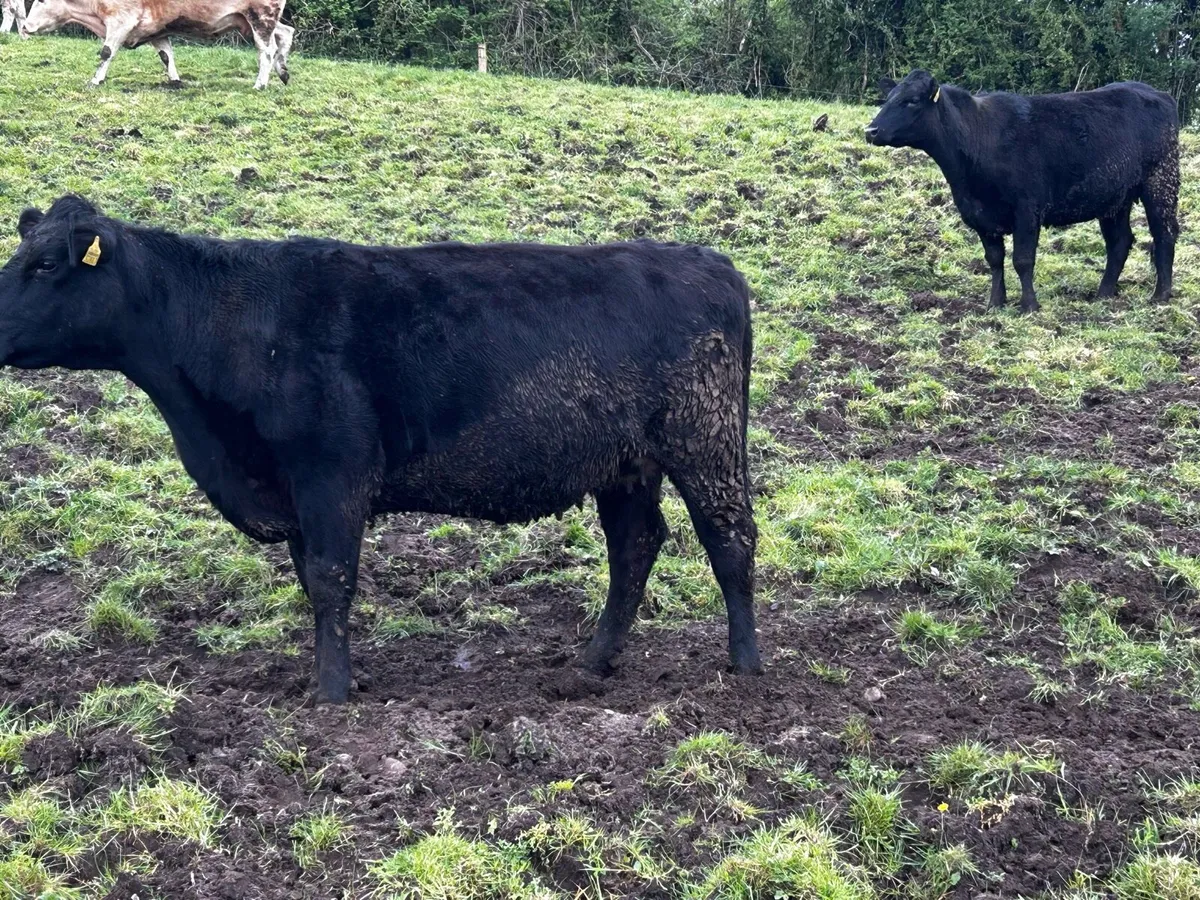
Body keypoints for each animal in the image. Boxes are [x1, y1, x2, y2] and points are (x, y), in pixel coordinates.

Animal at [0, 195, 765, 704]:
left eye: (47, 264)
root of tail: (705, 258)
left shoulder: (331, 474)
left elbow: (332, 578)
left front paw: (332, 696)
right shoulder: (294, 491)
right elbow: (312, 579)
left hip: (704, 439)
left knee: (729, 538)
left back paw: (747, 667)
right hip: (625, 462)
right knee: (636, 544)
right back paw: (593, 661)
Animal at [21, 0, 293, 88]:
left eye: (41, 1)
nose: (24, 27)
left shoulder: (120, 22)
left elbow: (107, 52)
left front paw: (95, 80)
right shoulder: (157, 31)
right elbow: (166, 56)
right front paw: (175, 81)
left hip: (260, 17)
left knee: (266, 51)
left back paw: (260, 84)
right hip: (253, 21)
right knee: (285, 33)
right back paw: (283, 72)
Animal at [865, 70, 1180, 313]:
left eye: (911, 101)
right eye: (888, 99)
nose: (871, 130)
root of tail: (1155, 92)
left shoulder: (1027, 209)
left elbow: (1022, 259)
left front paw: (1029, 306)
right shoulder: (979, 215)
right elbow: (994, 260)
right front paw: (995, 303)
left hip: (1161, 180)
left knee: (1164, 233)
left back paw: (1160, 296)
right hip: (1114, 197)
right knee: (1119, 242)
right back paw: (1103, 294)